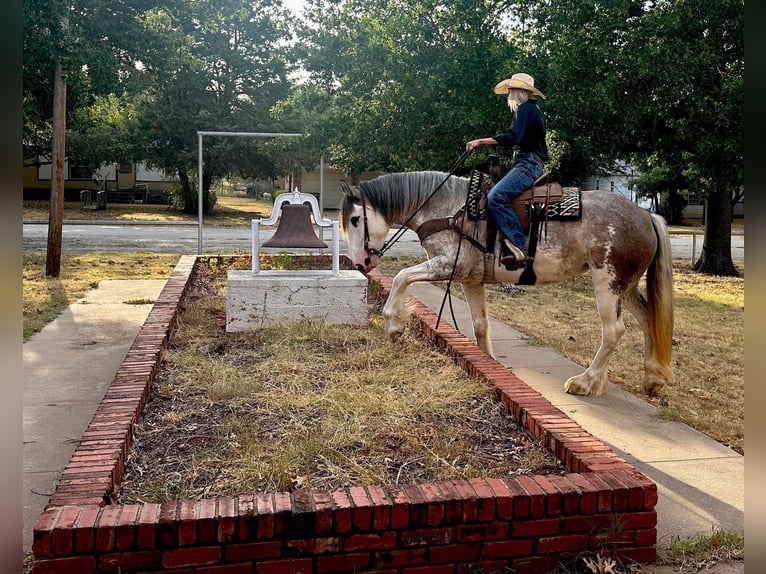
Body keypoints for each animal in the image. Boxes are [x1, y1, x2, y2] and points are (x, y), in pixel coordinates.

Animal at [340, 169, 676, 398]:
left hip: (607, 281)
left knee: (614, 330)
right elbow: (480, 326)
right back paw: (652, 378)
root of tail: (646, 214)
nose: (360, 263)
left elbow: (401, 277)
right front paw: (490, 365)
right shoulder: (469, 278)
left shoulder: (448, 265)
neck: (448, 210)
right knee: (648, 320)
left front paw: (394, 325)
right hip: (626, 286)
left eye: (356, 219)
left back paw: (586, 381)